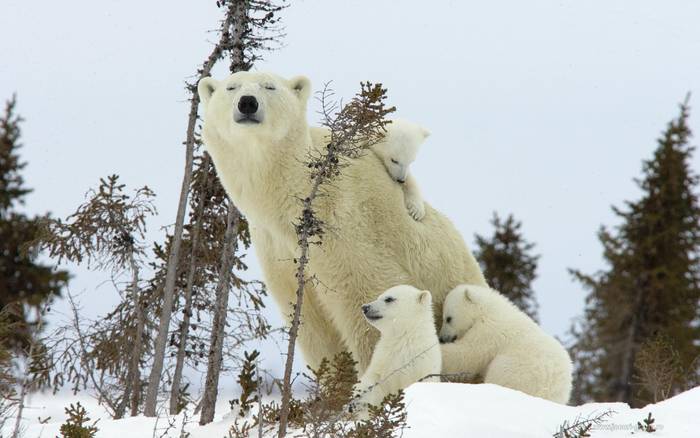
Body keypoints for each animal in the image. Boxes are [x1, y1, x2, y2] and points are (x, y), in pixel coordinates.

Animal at [197, 72, 486, 372]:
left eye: (269, 86)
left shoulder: (345, 225)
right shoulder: (276, 248)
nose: (247, 103)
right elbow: (313, 326)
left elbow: (368, 300)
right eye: (231, 87)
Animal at [352, 284, 440, 414]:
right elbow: (374, 381)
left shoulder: (423, 364)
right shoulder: (383, 359)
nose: (365, 307)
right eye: (379, 296)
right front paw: (357, 398)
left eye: (389, 299)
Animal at [440, 284, 572, 404]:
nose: (442, 338)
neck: (488, 309)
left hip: (518, 371)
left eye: (448, 318)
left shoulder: (488, 331)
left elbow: (467, 354)